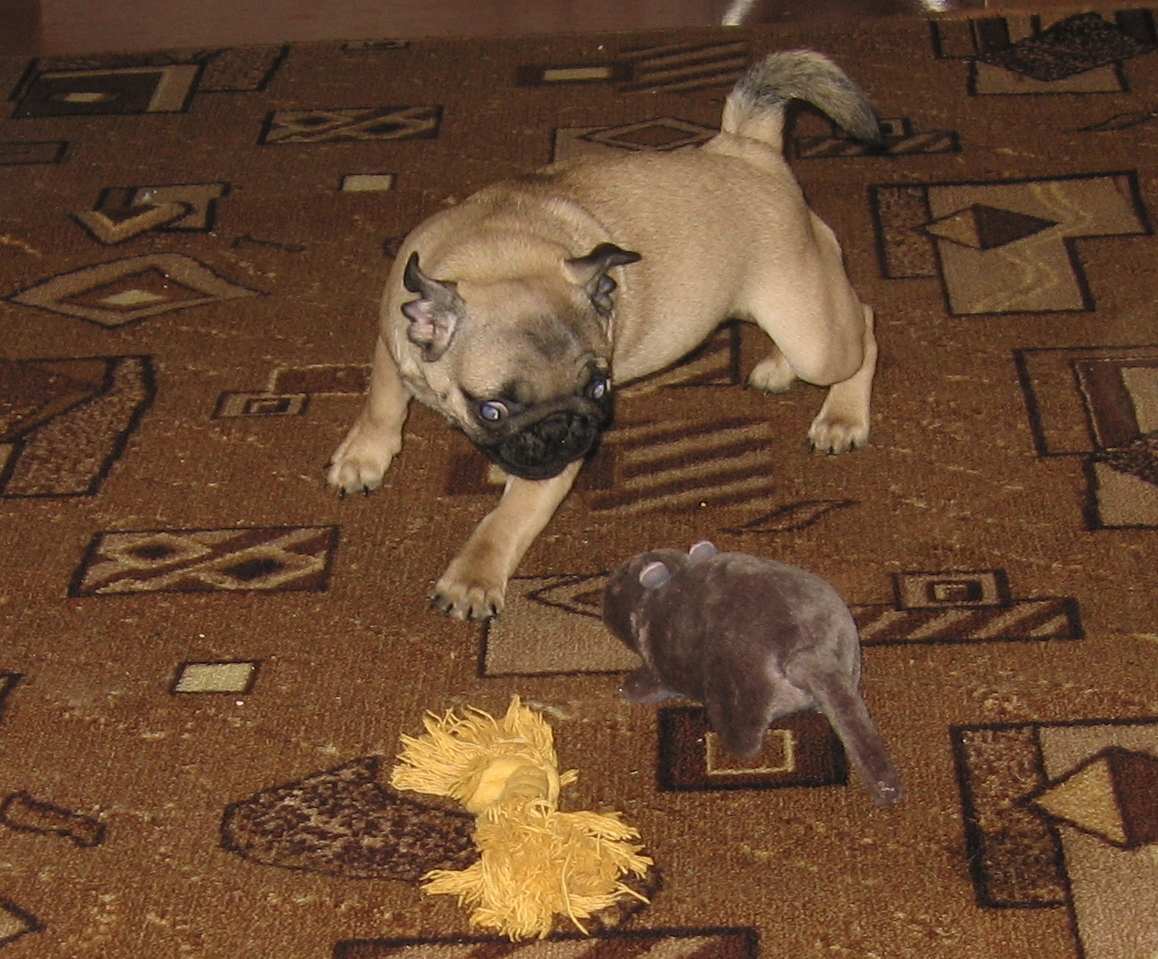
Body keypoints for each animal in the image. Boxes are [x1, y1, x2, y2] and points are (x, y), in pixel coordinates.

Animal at [327, 50, 881, 620]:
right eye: (492, 409)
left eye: (599, 388)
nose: (564, 429)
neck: (497, 261)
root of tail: (749, 148)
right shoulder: (393, 345)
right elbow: (381, 403)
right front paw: (364, 456)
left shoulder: (548, 469)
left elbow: (504, 521)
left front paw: (472, 577)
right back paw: (777, 367)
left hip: (812, 332)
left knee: (864, 324)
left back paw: (841, 417)